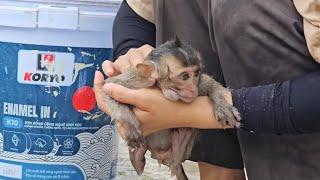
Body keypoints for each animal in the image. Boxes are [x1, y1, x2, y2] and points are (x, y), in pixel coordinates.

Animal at [105, 38, 240, 180]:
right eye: (185, 76)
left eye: (196, 74)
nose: (193, 89)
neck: (160, 88)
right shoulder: (136, 80)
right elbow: (108, 87)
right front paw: (128, 122)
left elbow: (209, 84)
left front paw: (222, 105)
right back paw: (137, 155)